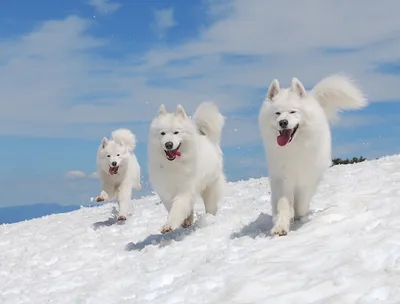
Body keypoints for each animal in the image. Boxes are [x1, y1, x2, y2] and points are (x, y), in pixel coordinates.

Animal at [148, 103, 227, 234]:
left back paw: (209, 218)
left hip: (210, 186)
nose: (168, 144)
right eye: (162, 133)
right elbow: (172, 206)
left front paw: (169, 225)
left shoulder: (185, 189)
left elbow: (177, 208)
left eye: (176, 132)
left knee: (211, 205)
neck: (173, 164)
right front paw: (184, 220)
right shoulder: (165, 190)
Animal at [258, 75, 368, 236]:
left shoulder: (308, 176)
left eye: (293, 112)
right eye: (277, 113)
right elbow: (283, 204)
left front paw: (298, 214)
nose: (283, 122)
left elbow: (302, 201)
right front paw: (281, 226)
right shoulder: (282, 177)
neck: (294, 148)